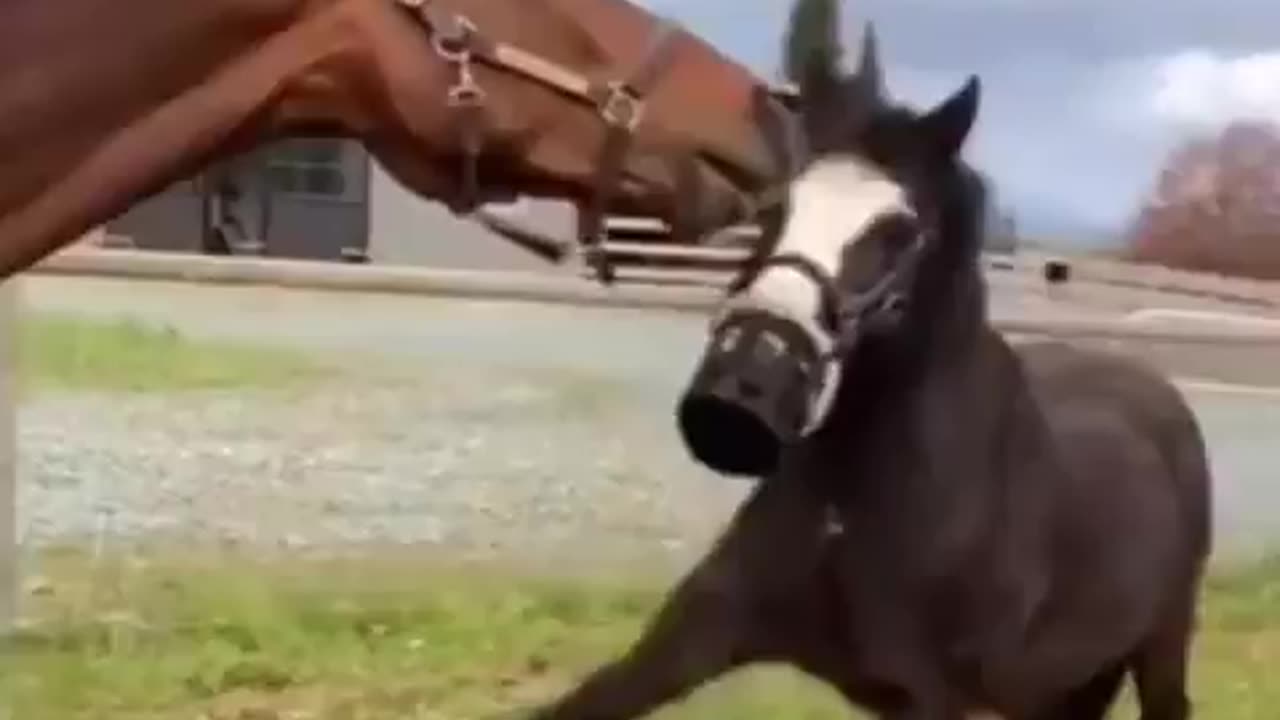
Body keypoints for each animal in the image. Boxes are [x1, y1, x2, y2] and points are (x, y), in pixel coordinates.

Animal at [521, 6, 1213, 720]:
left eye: (899, 232)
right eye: (775, 206)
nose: (742, 388)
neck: (855, 508)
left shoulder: (936, 700)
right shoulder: (692, 636)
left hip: (1157, 649)